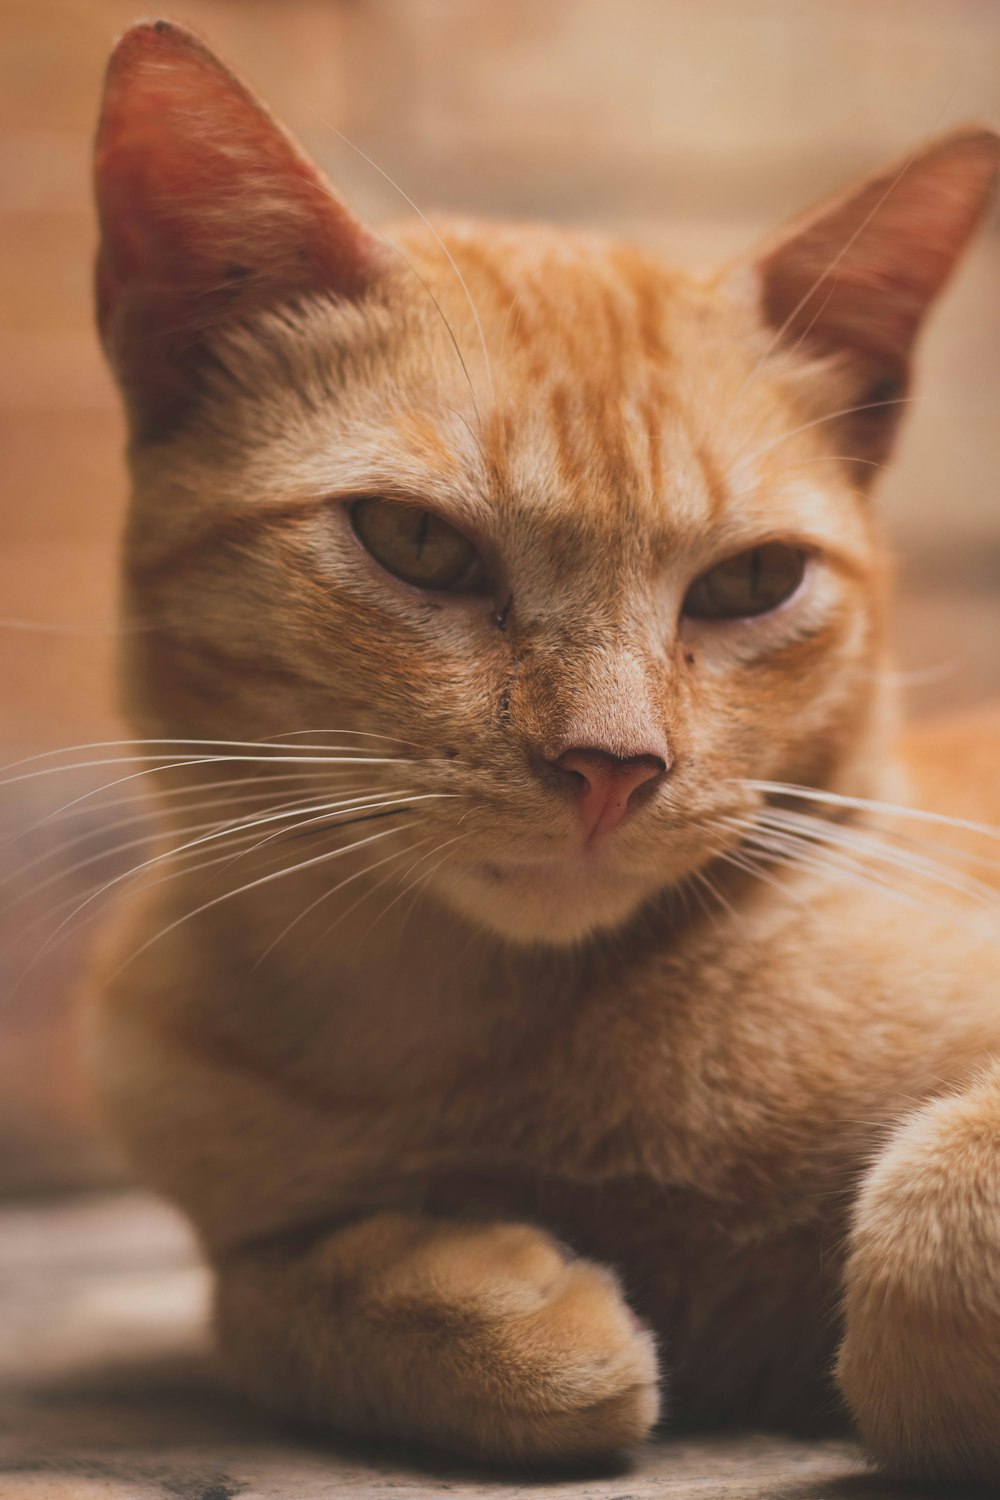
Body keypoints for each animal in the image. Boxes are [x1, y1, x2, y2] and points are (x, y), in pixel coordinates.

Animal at [88, 14, 1000, 1488]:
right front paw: (483, 1309)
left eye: (753, 581)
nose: (611, 766)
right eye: (417, 543)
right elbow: (253, 1299)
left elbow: (920, 1252)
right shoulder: (234, 1201)